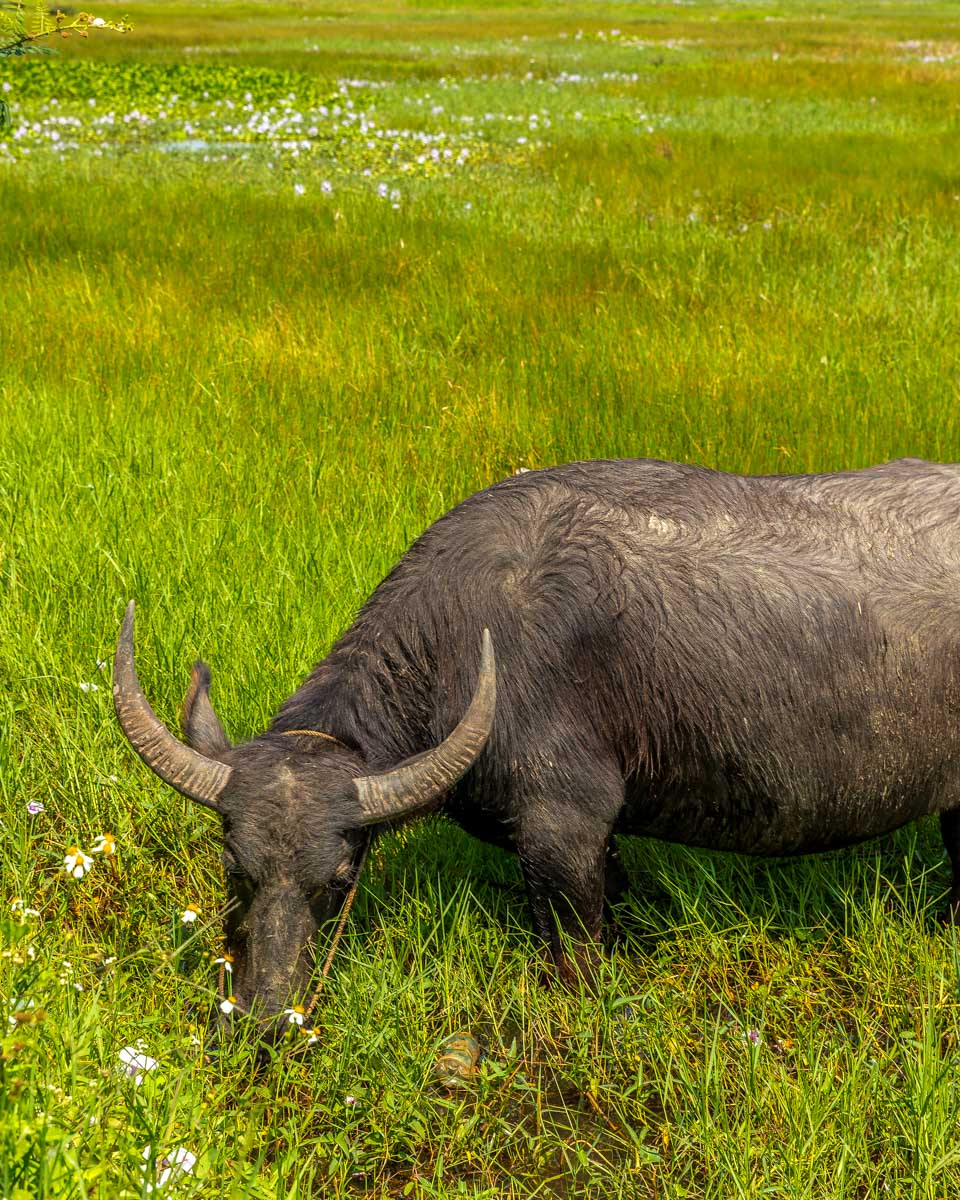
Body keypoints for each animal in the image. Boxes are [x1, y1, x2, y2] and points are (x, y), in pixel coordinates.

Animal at [114, 456, 960, 1031]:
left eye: (339, 879)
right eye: (234, 868)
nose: (263, 1022)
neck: (462, 641)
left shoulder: (564, 828)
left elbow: (576, 956)